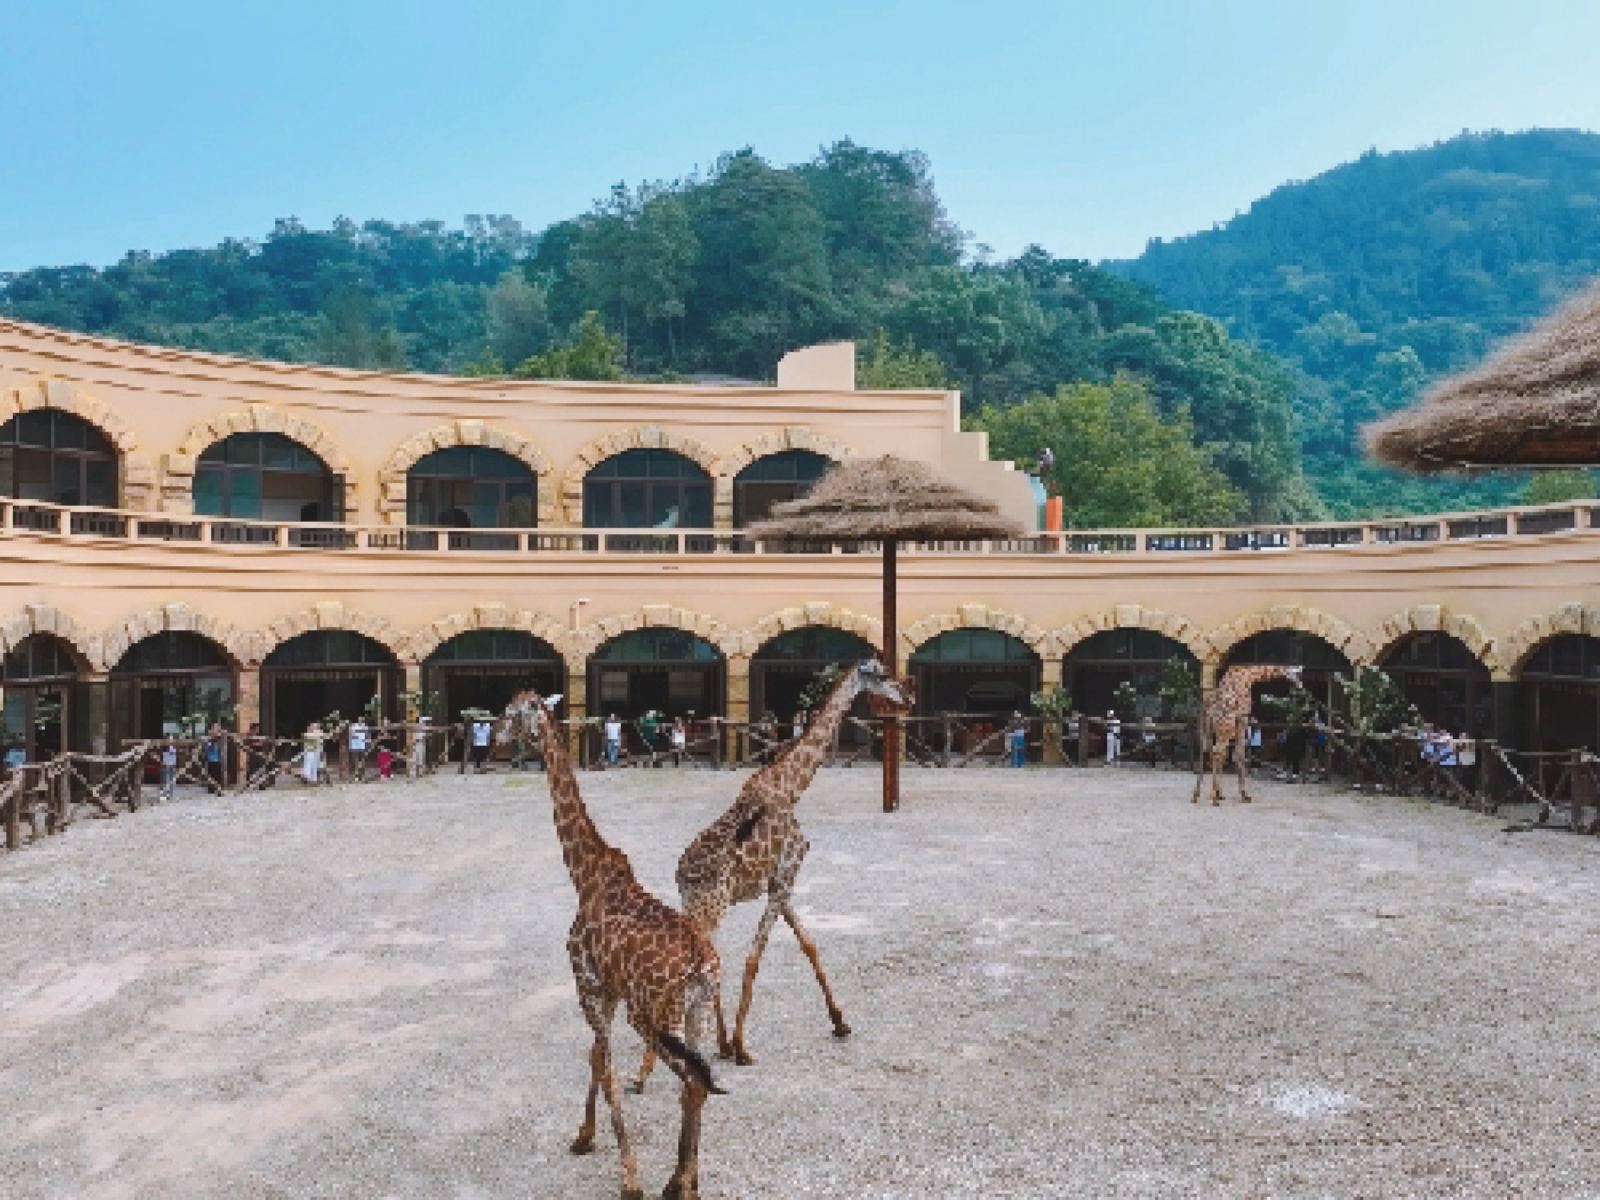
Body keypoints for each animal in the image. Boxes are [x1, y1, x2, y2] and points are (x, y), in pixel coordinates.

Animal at [505, 694, 726, 1200]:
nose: (501, 736)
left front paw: (629, 1180)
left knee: (692, 1081)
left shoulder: (588, 984)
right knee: (700, 1081)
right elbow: (595, 1059)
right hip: (697, 1012)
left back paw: (675, 1185)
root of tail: (702, 965)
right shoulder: (608, 990)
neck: (584, 876)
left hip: (652, 1014)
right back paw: (687, 1182)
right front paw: (583, 1138)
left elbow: (605, 1068)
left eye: (511, 711)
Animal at [633, 662, 915, 1094]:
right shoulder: (784, 877)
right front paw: (742, 1047)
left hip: (699, 906)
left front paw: (840, 1022)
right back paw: (645, 1071)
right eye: (882, 674)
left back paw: (703, 1046)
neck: (791, 788)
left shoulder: (779, 884)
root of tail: (682, 876)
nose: (908, 699)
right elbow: (755, 957)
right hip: (712, 906)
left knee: (705, 960)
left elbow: (809, 944)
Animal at [1196, 668, 1305, 809]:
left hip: (1209, 729)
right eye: (1297, 674)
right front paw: (1244, 795)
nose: (1300, 686)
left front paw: (1220, 793)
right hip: (1225, 728)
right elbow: (1239, 755)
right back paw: (1214, 800)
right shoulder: (1242, 719)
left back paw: (1197, 795)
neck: (1249, 676)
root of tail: (1208, 708)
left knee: (1207, 752)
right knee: (1216, 752)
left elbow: (1228, 756)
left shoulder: (1236, 723)